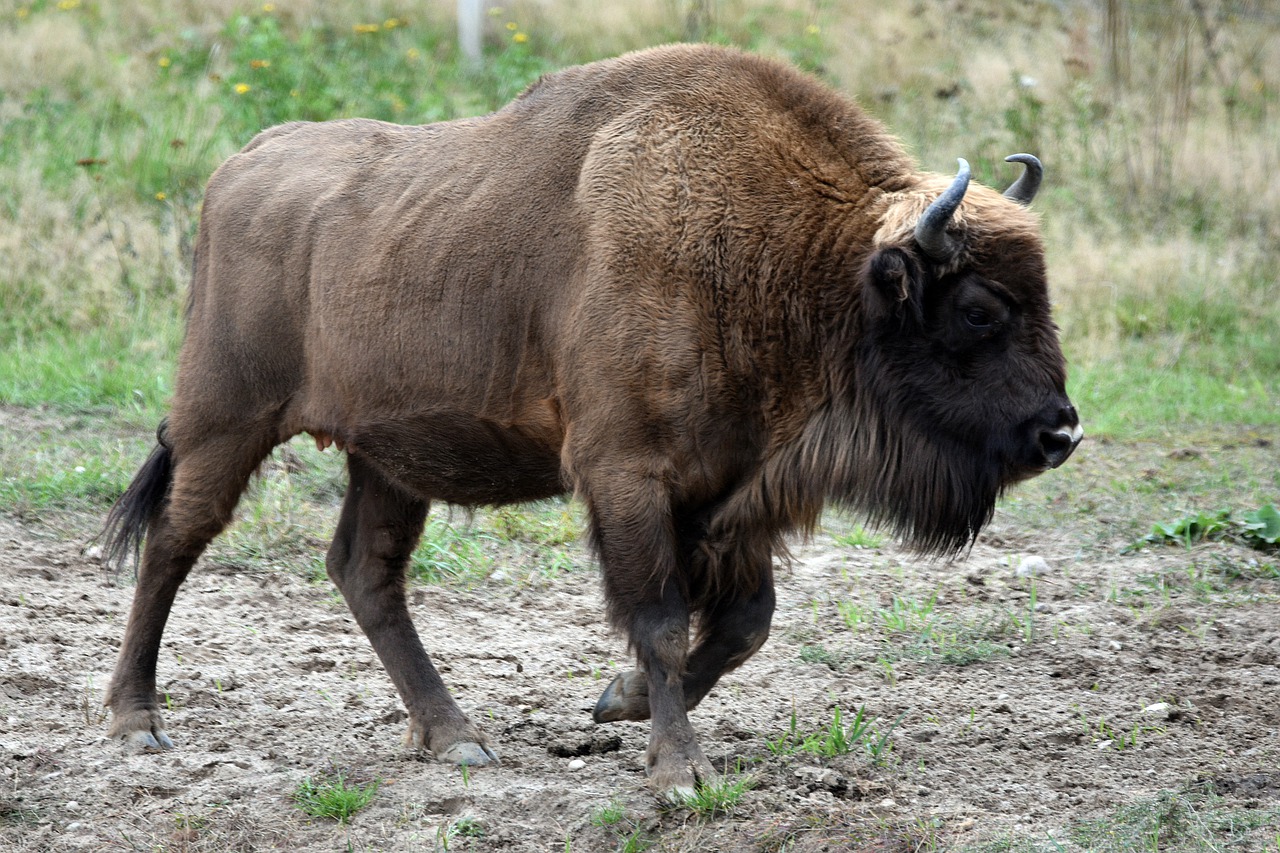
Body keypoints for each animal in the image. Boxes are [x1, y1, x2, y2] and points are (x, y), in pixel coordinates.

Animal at [102, 44, 1081, 797]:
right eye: (981, 309)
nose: (1060, 433)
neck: (798, 261)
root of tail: (244, 162)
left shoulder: (736, 494)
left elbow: (744, 623)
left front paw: (620, 701)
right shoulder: (629, 478)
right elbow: (660, 618)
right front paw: (679, 770)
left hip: (388, 458)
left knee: (365, 571)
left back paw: (457, 736)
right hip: (226, 420)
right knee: (175, 541)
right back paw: (136, 720)